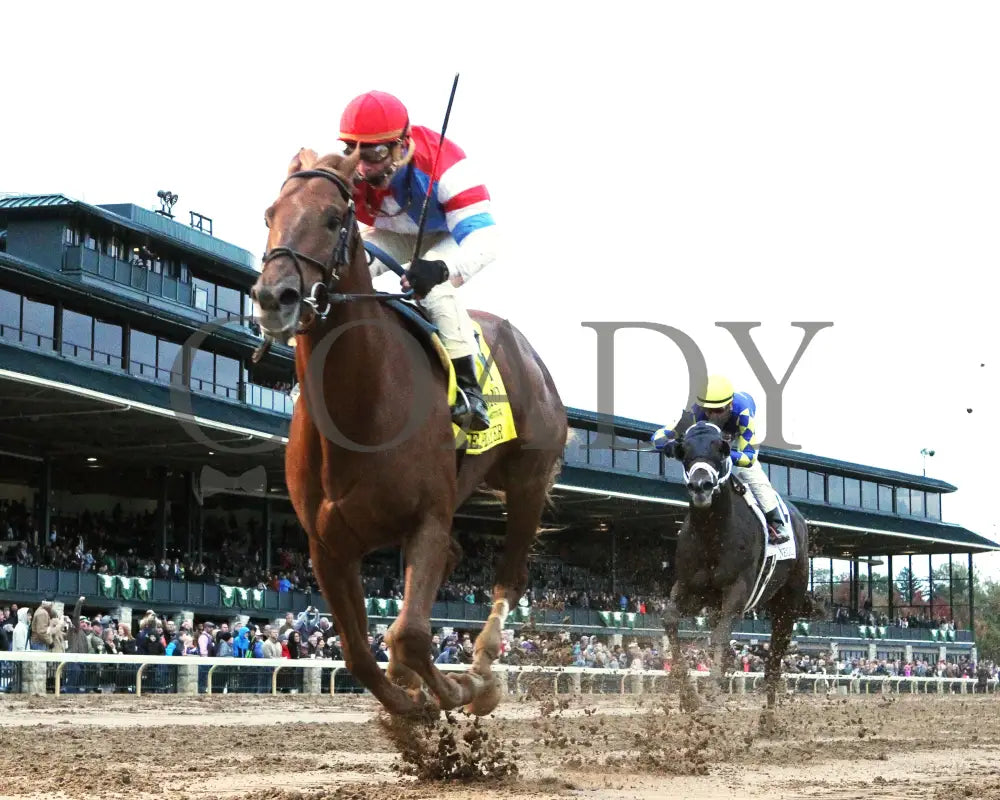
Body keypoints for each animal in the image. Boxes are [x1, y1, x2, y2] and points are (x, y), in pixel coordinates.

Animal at [249, 147, 568, 716]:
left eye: (333, 218)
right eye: (270, 215)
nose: (273, 297)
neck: (360, 407)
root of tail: (531, 355)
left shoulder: (427, 519)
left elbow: (410, 635)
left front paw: (458, 689)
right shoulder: (327, 546)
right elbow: (359, 651)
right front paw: (408, 707)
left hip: (528, 482)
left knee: (508, 578)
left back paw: (482, 666)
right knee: (457, 559)